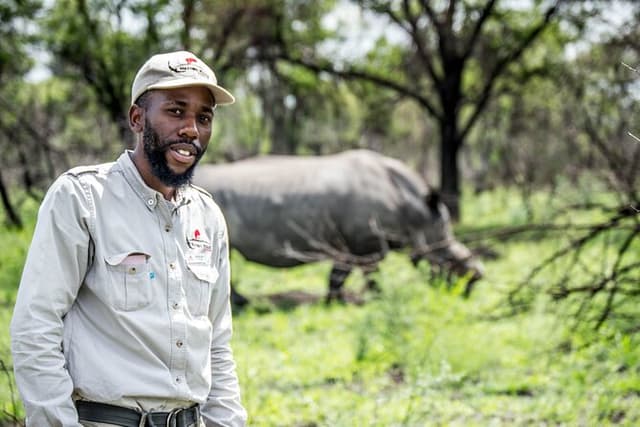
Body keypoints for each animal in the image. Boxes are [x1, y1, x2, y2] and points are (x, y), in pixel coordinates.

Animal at [193, 149, 482, 304]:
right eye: (448, 258)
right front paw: (376, 298)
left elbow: (340, 273)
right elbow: (366, 272)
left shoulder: (349, 243)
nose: (476, 278)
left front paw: (334, 301)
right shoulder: (364, 242)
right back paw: (241, 303)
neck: (415, 213)